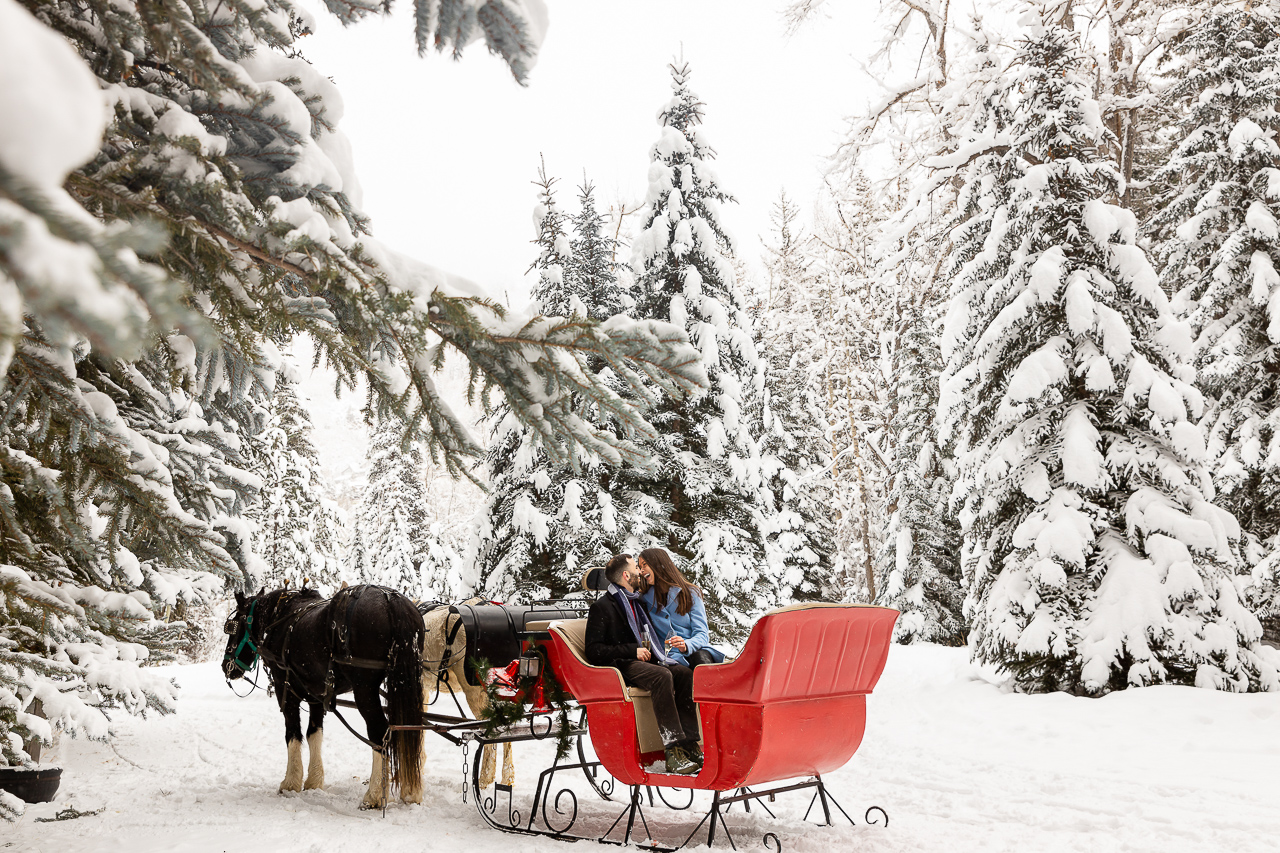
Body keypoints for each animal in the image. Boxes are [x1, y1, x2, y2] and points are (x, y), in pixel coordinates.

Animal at [222, 584, 427, 804]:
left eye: (232, 627)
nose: (226, 666)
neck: (279, 620)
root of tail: (391, 600)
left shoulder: (284, 686)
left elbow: (292, 734)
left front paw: (290, 782)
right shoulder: (317, 694)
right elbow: (314, 734)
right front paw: (314, 780)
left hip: (364, 688)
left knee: (379, 733)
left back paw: (374, 795)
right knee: (409, 730)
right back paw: (411, 791)